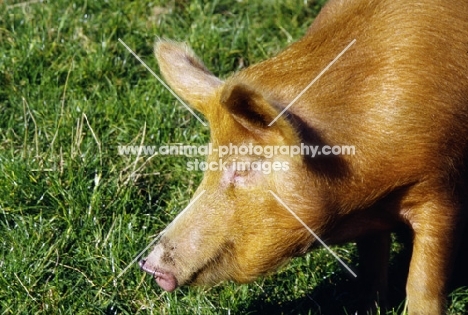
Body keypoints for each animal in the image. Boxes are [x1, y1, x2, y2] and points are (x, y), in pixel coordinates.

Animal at [138, 0, 468, 315]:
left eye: (243, 168)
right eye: (208, 165)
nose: (148, 265)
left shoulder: (441, 190)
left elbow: (422, 284)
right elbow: (371, 269)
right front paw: (369, 307)